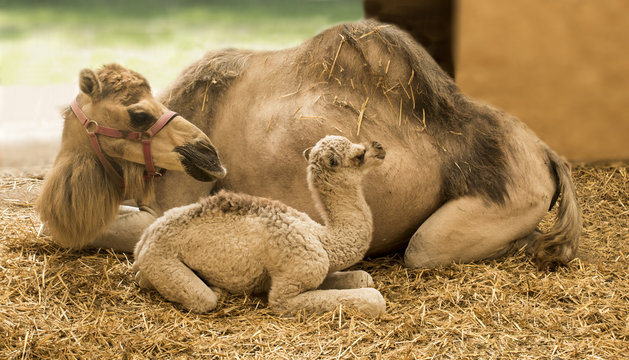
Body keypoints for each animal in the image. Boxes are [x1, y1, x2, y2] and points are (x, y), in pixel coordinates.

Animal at [84, 19, 584, 268]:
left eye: (136, 116)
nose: (208, 158)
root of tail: (547, 155)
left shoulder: (175, 199)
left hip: (500, 202)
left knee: (426, 249)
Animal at [132, 136, 386, 316]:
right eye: (359, 154)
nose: (380, 148)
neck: (321, 237)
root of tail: (142, 242)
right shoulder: (293, 278)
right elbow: (374, 298)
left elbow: (364, 277)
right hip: (161, 260)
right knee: (202, 298)